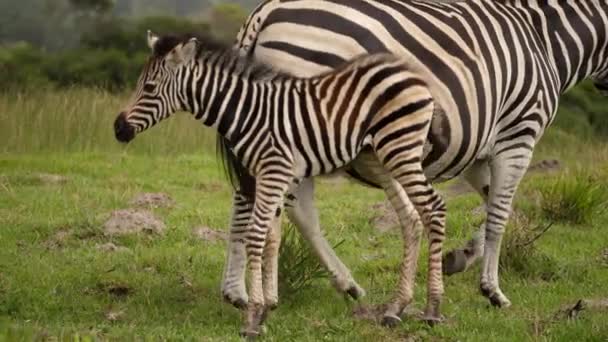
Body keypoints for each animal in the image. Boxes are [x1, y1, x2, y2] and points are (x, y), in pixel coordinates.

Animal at [114, 30, 454, 336]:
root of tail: (411, 73)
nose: (118, 129)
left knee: (433, 208)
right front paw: (267, 306)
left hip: (400, 148)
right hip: (379, 157)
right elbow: (271, 239)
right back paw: (396, 307)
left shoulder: (273, 171)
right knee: (410, 218)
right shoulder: (270, 176)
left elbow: (255, 236)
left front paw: (253, 317)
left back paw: (433, 309)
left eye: (149, 87)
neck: (246, 113)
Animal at [221, 0, 608, 312]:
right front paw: (493, 290)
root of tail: (267, 10)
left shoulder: (477, 151)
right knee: (292, 207)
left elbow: (495, 206)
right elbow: (501, 214)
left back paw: (241, 292)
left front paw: (461, 257)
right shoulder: (518, 135)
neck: (545, 38)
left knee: (255, 199)